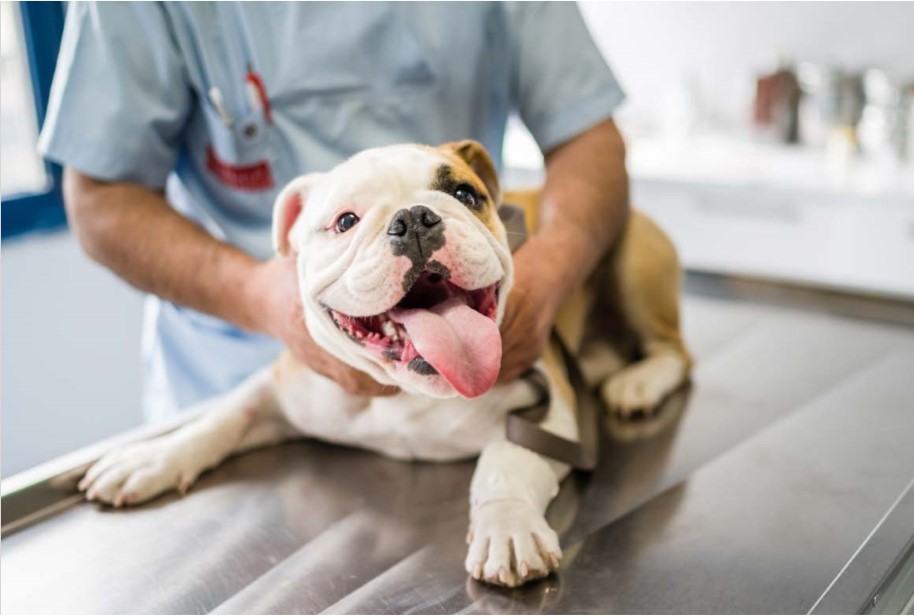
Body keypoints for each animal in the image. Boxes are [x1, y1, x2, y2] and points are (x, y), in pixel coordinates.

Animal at [80, 141, 692, 588]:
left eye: (465, 194)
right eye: (345, 221)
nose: (415, 218)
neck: (408, 391)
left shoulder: (549, 408)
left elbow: (504, 460)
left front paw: (506, 526)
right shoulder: (281, 390)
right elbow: (223, 418)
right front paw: (153, 456)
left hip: (633, 260)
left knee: (675, 351)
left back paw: (638, 383)